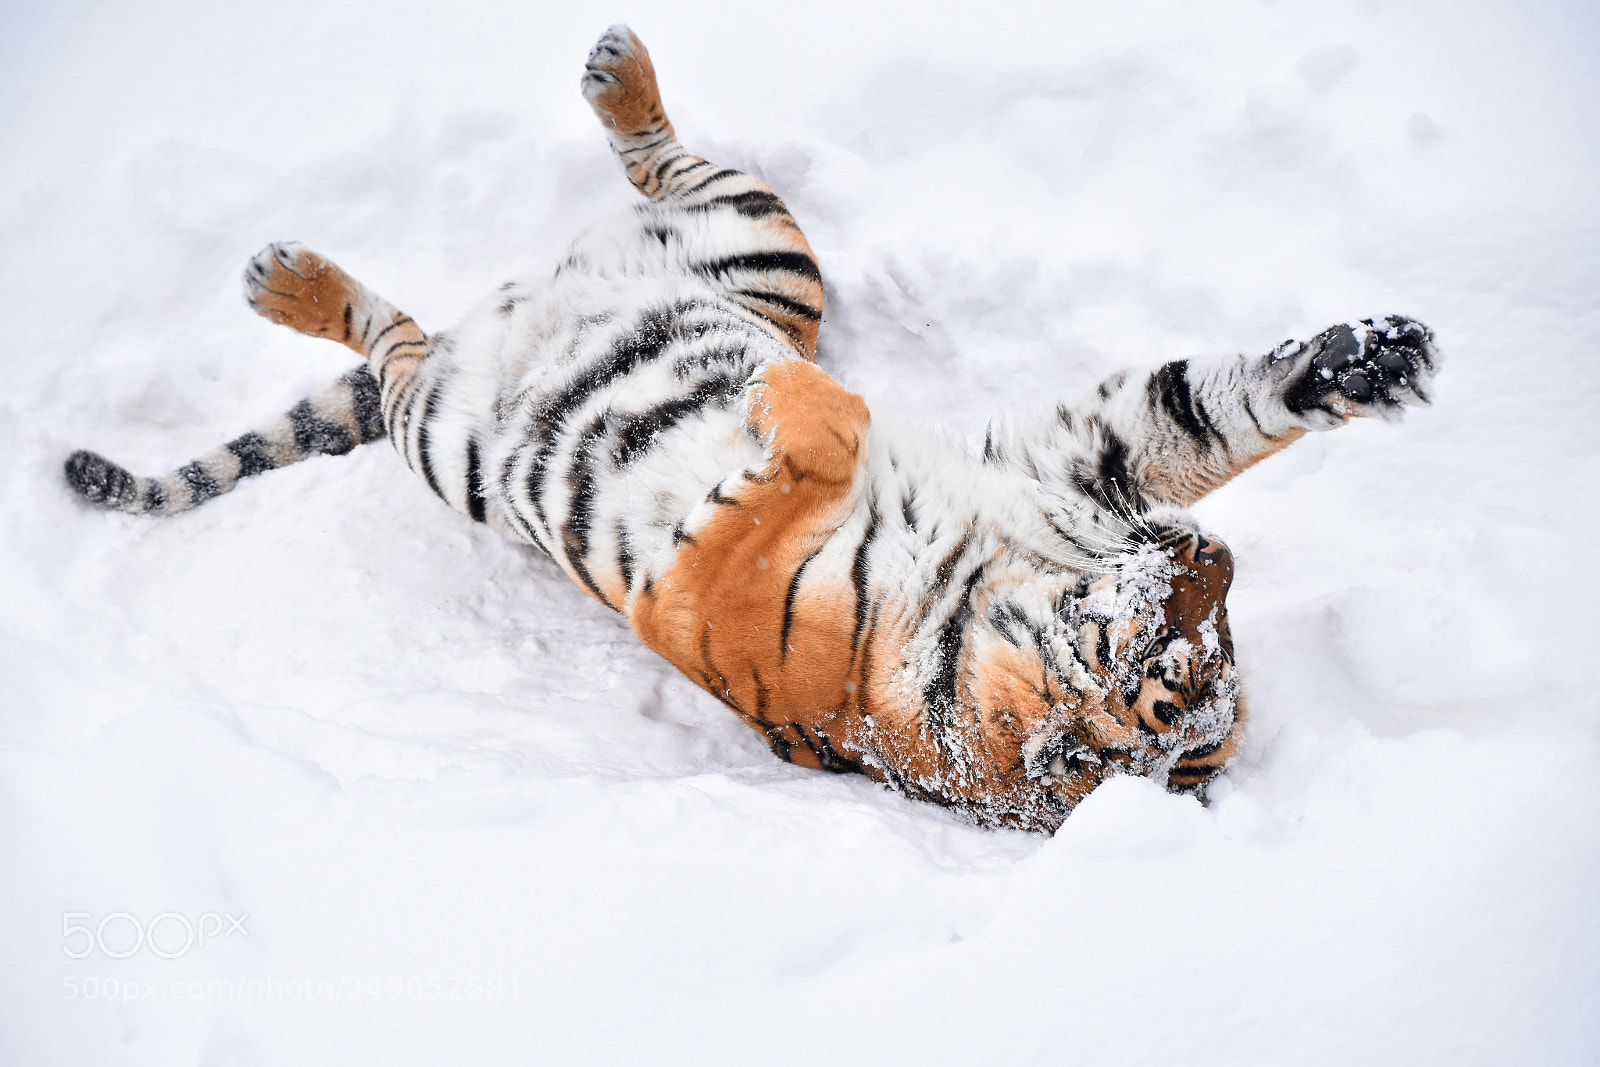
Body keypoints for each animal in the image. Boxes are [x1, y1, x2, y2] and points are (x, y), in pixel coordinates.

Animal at [62, 25, 1440, 832]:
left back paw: (284, 279)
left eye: (1179, 682)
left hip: (452, 430)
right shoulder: (1060, 460)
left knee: (397, 344)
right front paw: (1364, 360)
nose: (1209, 558)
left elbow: (802, 451)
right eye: (1197, 642)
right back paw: (600, 76)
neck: (996, 598)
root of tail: (509, 309)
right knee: (633, 174)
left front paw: (801, 407)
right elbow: (1201, 413)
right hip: (755, 235)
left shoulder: (696, 584)